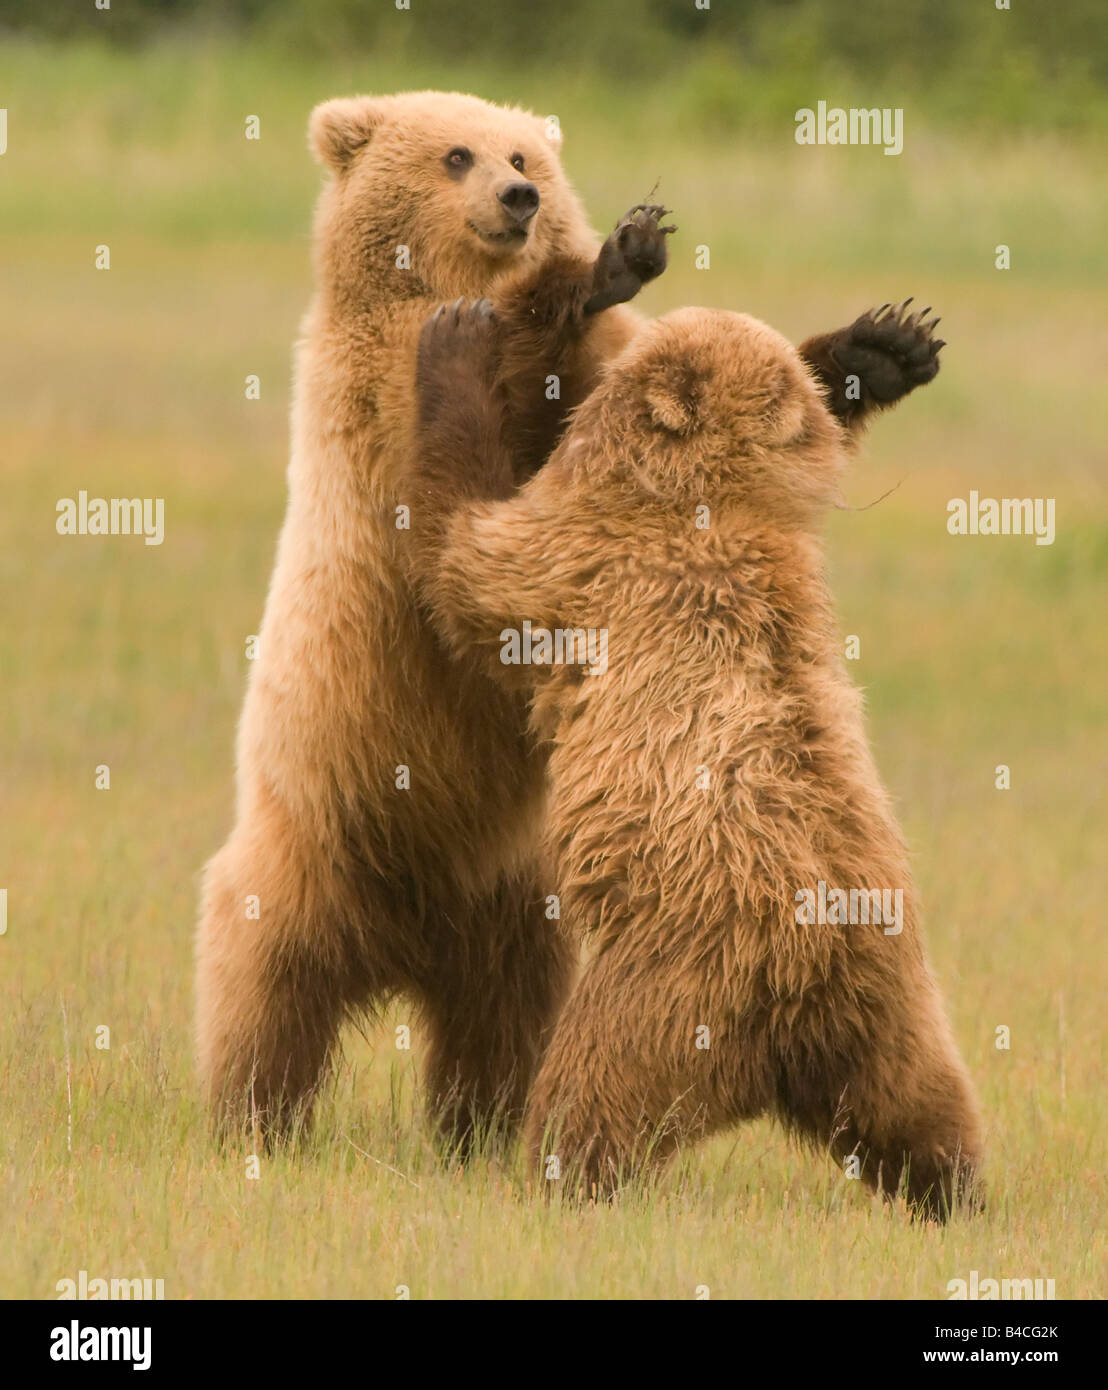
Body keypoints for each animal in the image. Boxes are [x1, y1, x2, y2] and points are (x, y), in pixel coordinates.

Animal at [411, 296, 978, 1217]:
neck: (711, 500)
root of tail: (803, 1002)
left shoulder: (583, 559)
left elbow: (470, 556)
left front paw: (454, 344)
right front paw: (883, 346)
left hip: (668, 987)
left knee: (592, 1096)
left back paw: (558, 1173)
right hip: (896, 1008)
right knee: (923, 1110)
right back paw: (954, 1191)